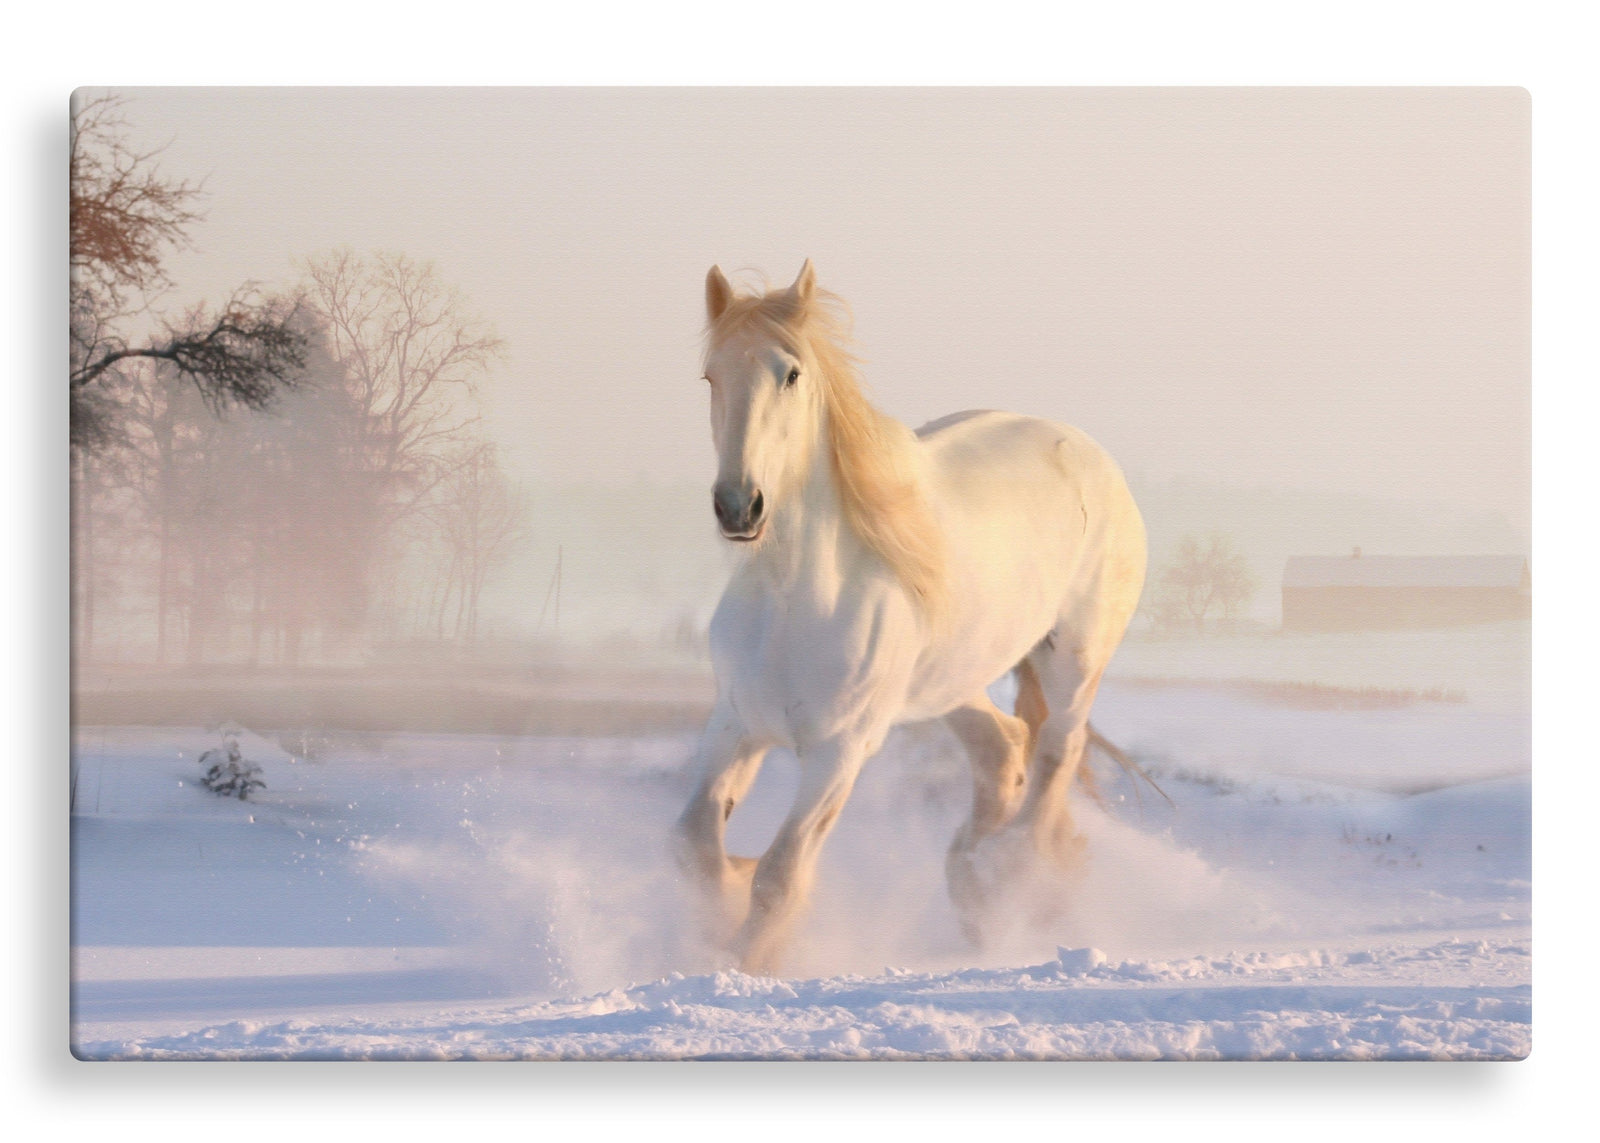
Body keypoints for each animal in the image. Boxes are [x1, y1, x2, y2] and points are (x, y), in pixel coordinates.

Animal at [673, 261, 1147, 974]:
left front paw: (748, 960)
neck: (794, 600)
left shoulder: (840, 750)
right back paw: (974, 883)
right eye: (710, 376)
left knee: (1056, 753)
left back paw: (1012, 877)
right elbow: (696, 846)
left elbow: (781, 875)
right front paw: (723, 910)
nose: (738, 506)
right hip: (951, 681)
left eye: (791, 374)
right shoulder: (735, 723)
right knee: (1004, 747)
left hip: (1074, 658)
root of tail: (1092, 456)